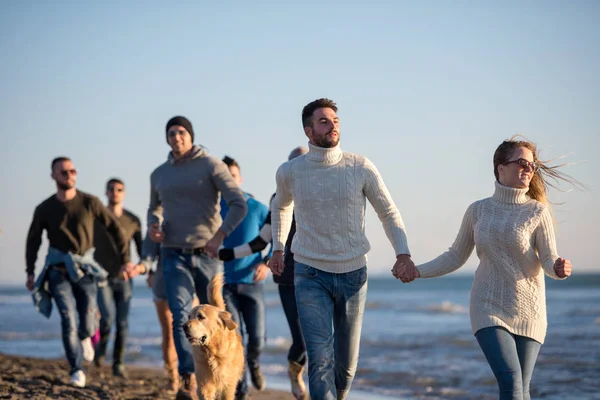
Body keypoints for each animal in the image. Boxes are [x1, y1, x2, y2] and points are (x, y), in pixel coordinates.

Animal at [185, 272, 246, 400]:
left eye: (201, 317)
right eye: (189, 317)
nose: (184, 326)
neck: (213, 351)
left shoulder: (228, 386)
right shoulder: (204, 384)